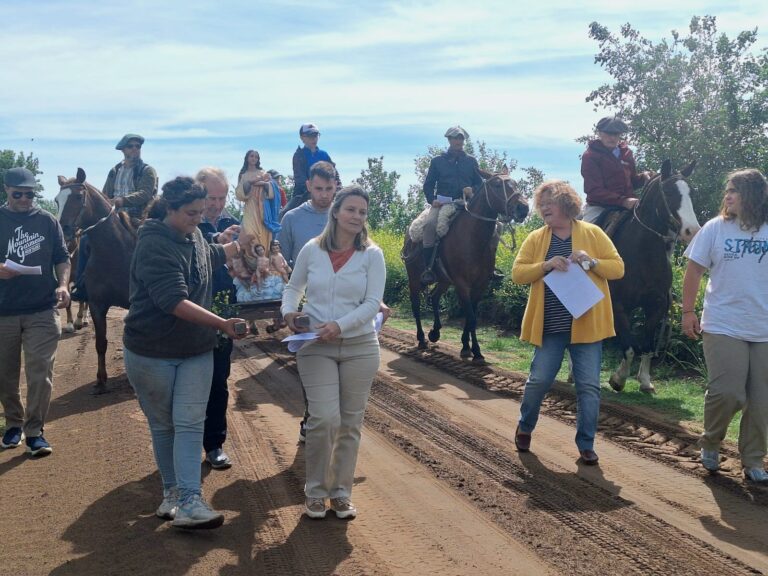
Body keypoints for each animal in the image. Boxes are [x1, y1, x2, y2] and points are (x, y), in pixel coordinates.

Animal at [56, 166, 136, 392]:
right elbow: (100, 343)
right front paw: (101, 380)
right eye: (57, 200)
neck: (115, 252)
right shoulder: (97, 304)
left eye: (78, 196)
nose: (63, 233)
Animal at [402, 169, 528, 362]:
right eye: (497, 185)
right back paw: (422, 339)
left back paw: (434, 333)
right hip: (415, 279)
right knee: (416, 304)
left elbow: (470, 317)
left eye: (515, 183)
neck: (472, 238)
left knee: (434, 297)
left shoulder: (480, 285)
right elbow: (471, 317)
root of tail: (409, 236)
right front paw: (475, 351)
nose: (523, 208)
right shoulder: (462, 284)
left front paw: (467, 347)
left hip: (444, 280)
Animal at [608, 159, 704, 392]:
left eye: (691, 192)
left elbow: (647, 345)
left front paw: (644, 380)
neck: (642, 254)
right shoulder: (618, 305)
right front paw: (619, 379)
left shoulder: (657, 305)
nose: (692, 231)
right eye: (668, 192)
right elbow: (629, 347)